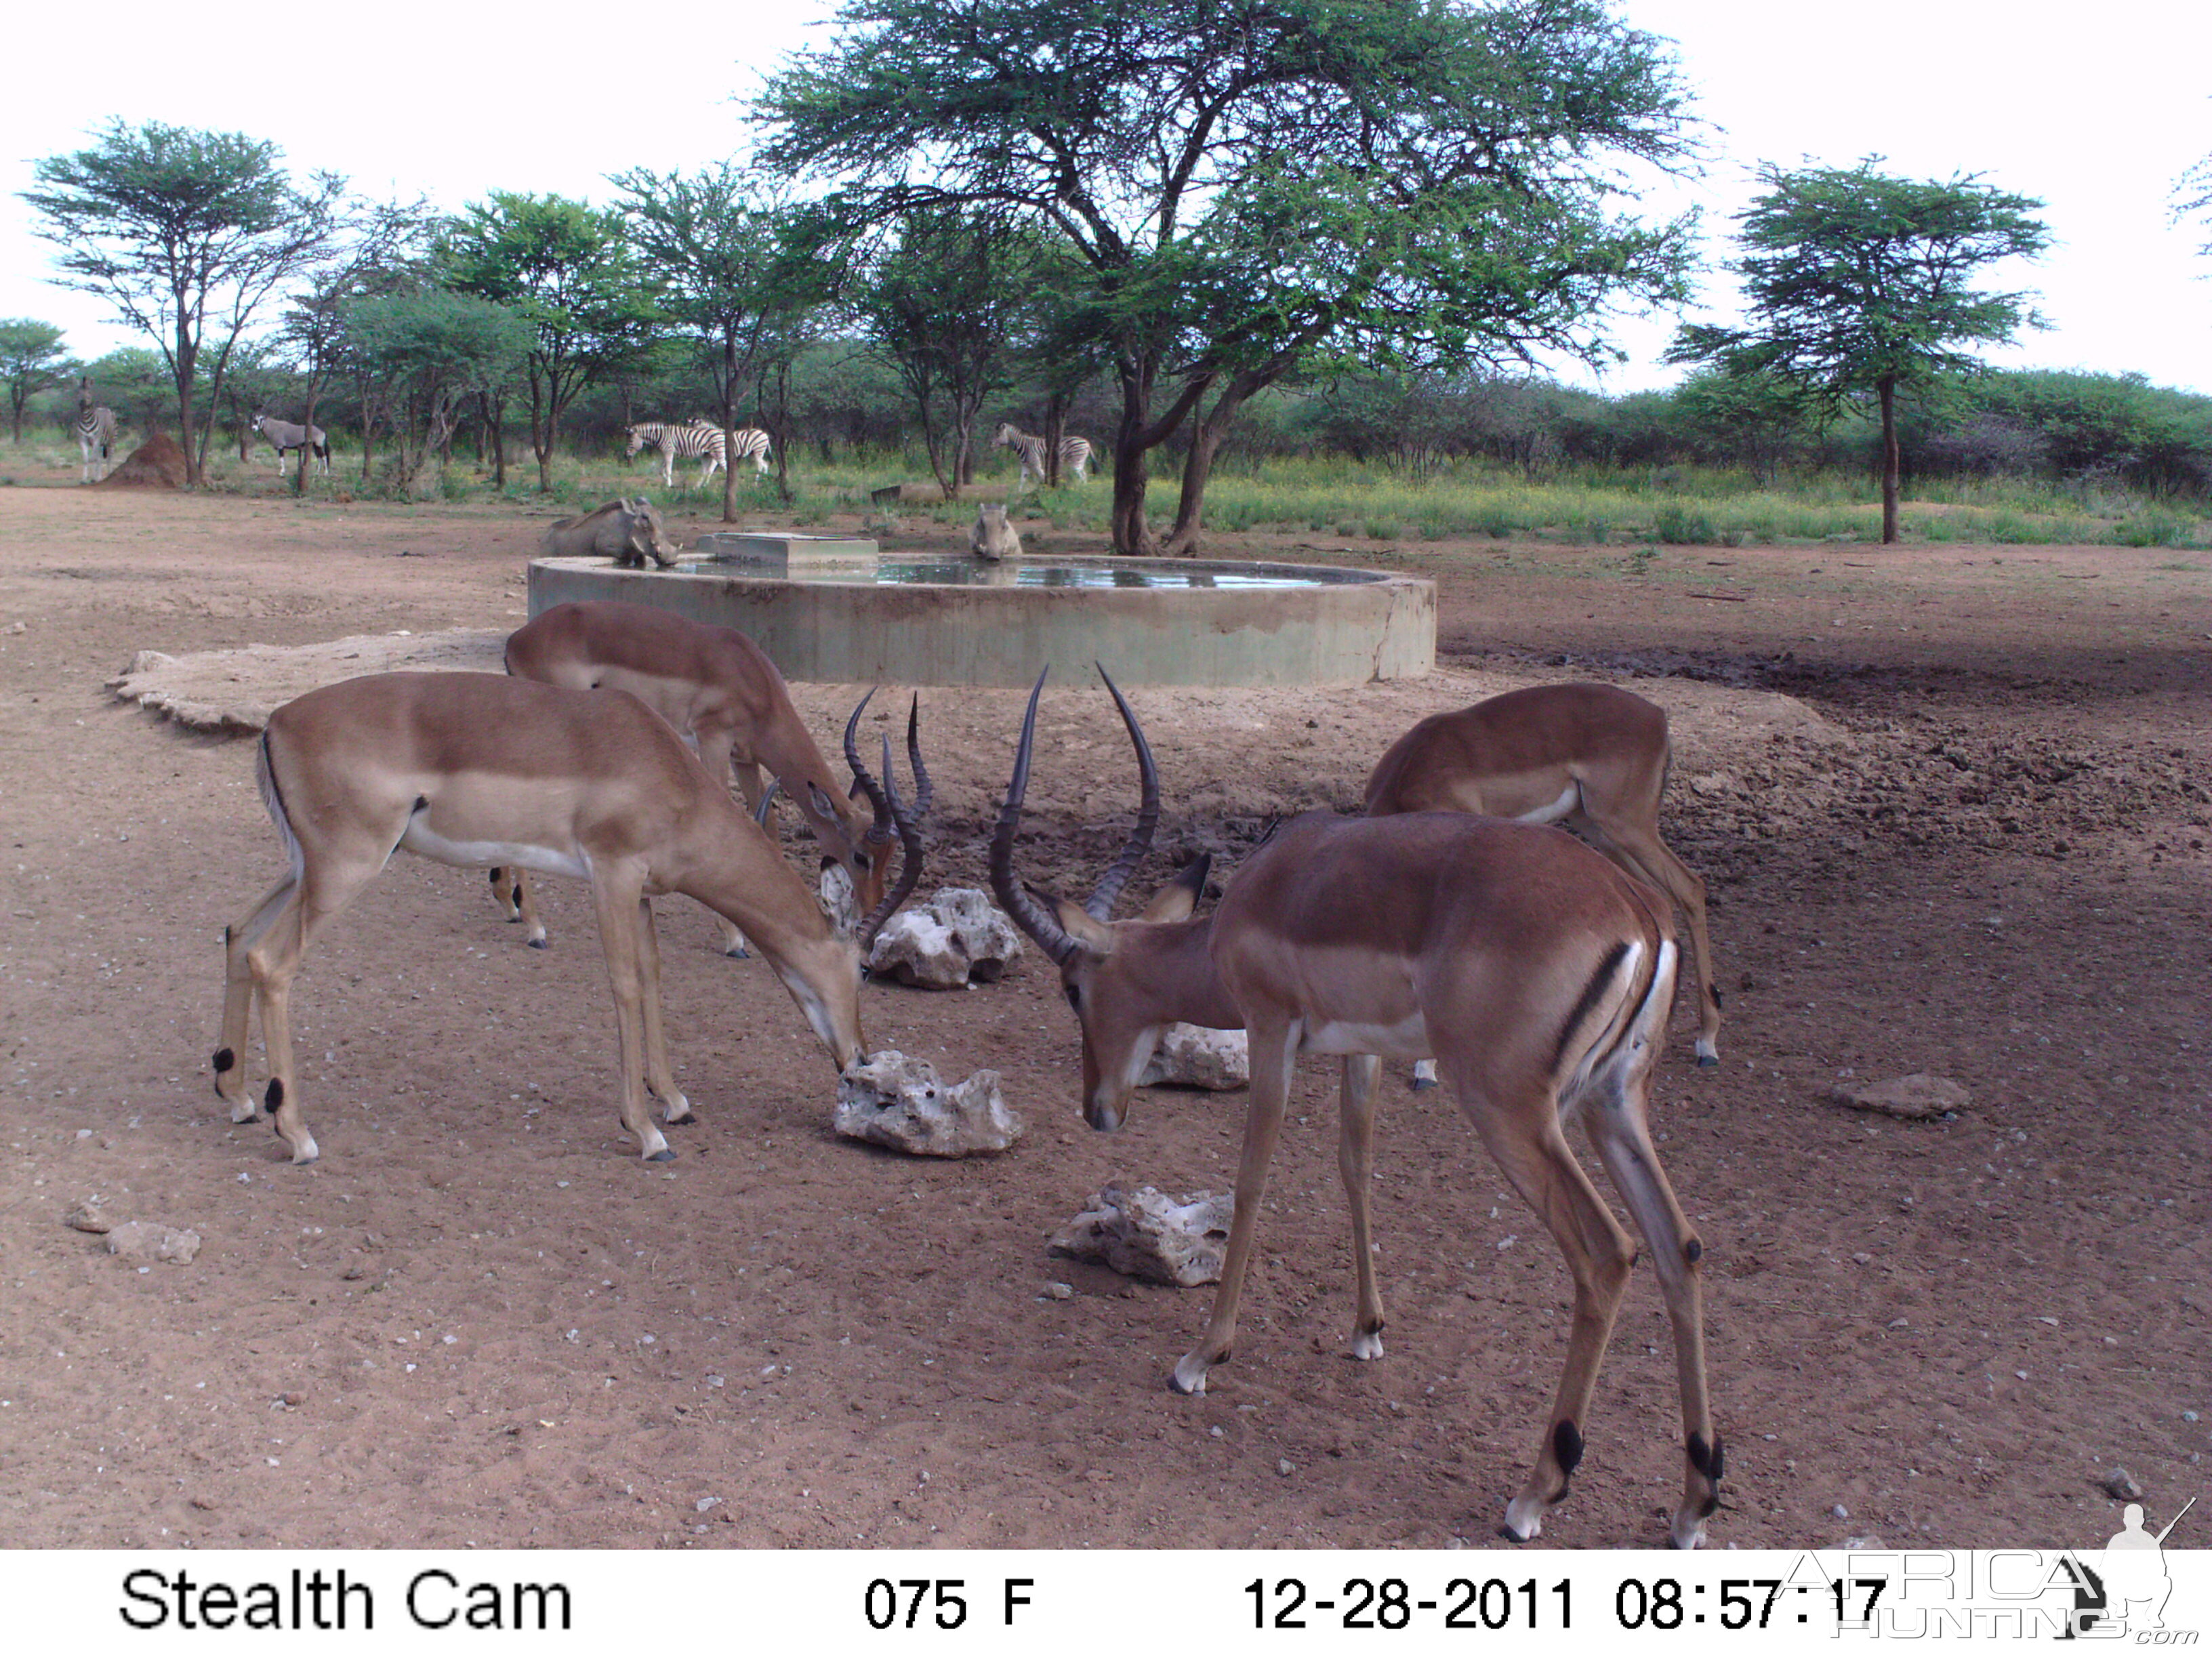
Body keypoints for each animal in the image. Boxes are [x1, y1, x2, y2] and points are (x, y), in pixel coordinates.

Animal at [75, 375, 117, 480]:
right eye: (78, 392)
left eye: (89, 392)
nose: (82, 403)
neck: (86, 420)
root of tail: (106, 409)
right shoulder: (83, 439)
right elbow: (86, 459)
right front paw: (85, 479)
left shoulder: (96, 439)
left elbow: (94, 459)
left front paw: (93, 478)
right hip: (102, 443)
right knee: (100, 458)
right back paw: (99, 477)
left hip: (112, 440)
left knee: (110, 457)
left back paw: (109, 474)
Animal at [1000, 422, 1092, 487]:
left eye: (998, 435)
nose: (994, 445)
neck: (1024, 445)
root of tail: (1087, 443)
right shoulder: (1026, 466)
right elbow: (1022, 481)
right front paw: (1019, 494)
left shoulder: (1037, 465)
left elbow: (1042, 477)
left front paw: (1044, 491)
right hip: (1080, 462)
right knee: (1084, 475)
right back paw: (1083, 488)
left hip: (1076, 461)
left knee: (1082, 476)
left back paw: (1080, 489)